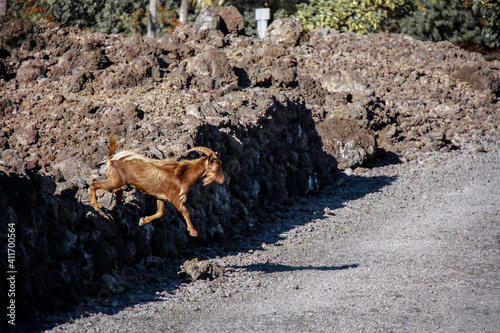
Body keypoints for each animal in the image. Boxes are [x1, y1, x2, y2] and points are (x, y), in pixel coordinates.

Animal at [90, 135, 225, 236]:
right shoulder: (176, 198)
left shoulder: (161, 197)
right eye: (216, 166)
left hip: (118, 180)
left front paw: (142, 221)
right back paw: (96, 206)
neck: (183, 176)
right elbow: (186, 212)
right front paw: (193, 231)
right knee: (94, 184)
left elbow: (160, 212)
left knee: (114, 189)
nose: (223, 180)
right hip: (115, 179)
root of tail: (112, 158)